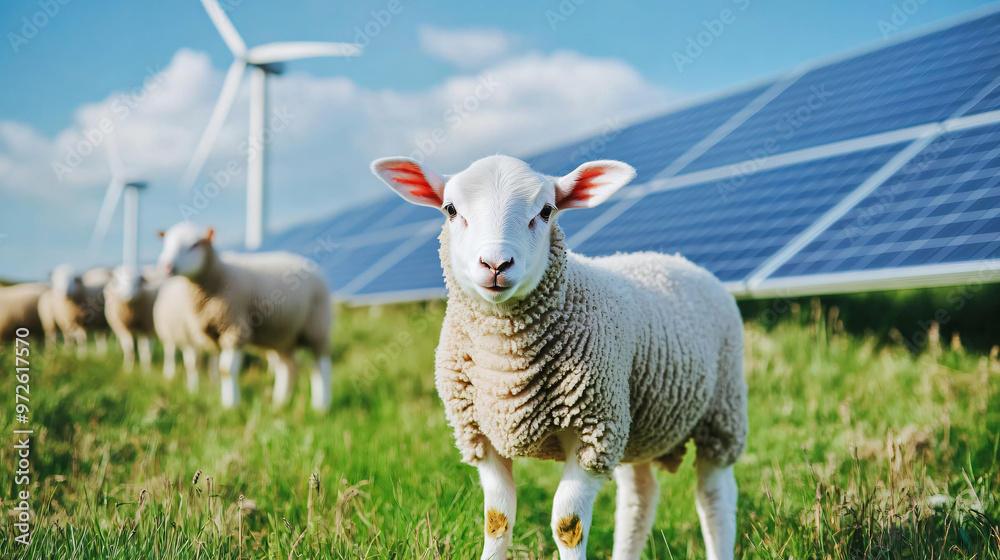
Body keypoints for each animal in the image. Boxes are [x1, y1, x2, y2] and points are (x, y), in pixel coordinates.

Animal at [156, 223, 334, 410]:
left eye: (195, 244)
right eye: (166, 244)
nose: (166, 266)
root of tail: (317, 270)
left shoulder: (235, 327)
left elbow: (226, 369)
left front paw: (231, 405)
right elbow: (218, 367)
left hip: (317, 326)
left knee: (320, 365)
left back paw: (321, 405)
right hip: (284, 334)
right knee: (289, 365)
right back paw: (279, 403)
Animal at [371, 155, 748, 560]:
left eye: (546, 211)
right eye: (451, 209)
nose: (496, 265)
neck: (506, 370)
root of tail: (674, 258)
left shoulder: (592, 433)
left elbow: (568, 525)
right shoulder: (479, 434)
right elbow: (496, 521)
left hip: (720, 413)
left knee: (715, 499)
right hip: (634, 421)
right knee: (639, 498)